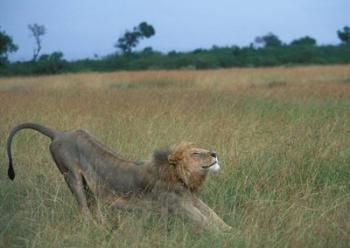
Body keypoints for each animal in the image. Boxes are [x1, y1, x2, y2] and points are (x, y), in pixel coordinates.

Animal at [6, 123, 232, 232]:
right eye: (196, 153)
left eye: (202, 149)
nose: (214, 153)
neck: (179, 177)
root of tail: (59, 133)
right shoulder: (177, 204)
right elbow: (204, 221)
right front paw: (226, 237)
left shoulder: (190, 198)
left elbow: (213, 216)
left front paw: (231, 229)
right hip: (71, 176)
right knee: (84, 209)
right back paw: (95, 229)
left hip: (88, 186)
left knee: (92, 206)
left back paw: (105, 227)